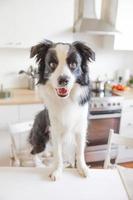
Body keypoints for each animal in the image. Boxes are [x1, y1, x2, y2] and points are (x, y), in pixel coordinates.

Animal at [29, 39, 95, 180]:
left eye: (73, 64)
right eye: (52, 64)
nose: (63, 80)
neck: (66, 100)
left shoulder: (81, 128)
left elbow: (80, 151)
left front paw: (83, 168)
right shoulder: (55, 130)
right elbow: (58, 154)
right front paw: (57, 171)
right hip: (41, 137)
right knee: (34, 151)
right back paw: (39, 164)